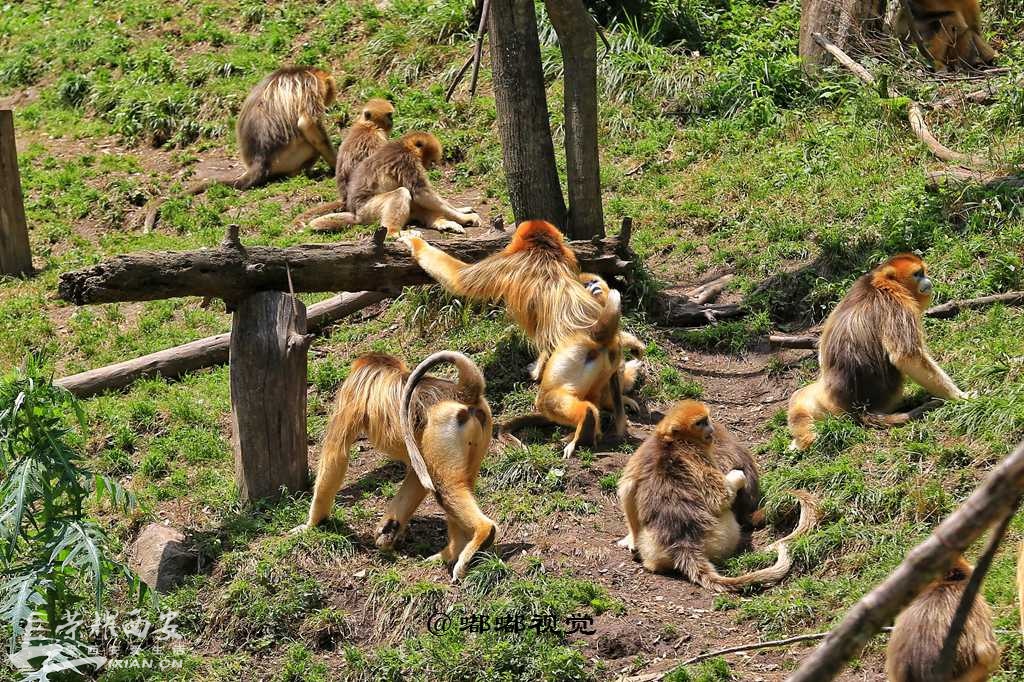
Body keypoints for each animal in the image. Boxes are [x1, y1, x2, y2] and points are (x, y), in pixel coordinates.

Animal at [288, 350, 495, 577]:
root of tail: (461, 392)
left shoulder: (352, 388)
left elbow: (336, 454)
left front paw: (312, 524)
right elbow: (417, 476)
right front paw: (389, 528)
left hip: (442, 426)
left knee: (444, 487)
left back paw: (483, 533)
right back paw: (452, 552)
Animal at [307, 131, 479, 235]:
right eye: (429, 160)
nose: (429, 166)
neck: (404, 145)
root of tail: (356, 214)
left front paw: (461, 210)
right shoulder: (406, 161)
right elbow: (421, 193)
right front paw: (464, 217)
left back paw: (440, 223)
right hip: (369, 211)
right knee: (403, 192)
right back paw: (394, 233)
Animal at [610, 399, 819, 589]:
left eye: (706, 419)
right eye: (700, 422)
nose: (710, 428)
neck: (671, 441)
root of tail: (683, 543)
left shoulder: (644, 452)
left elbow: (627, 490)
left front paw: (631, 539)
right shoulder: (699, 454)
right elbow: (721, 497)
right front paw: (736, 477)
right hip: (725, 532)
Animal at [782, 251, 966, 448]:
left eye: (923, 272)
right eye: (918, 274)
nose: (928, 280)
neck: (879, 283)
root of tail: (857, 409)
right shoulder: (896, 305)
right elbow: (907, 357)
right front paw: (959, 397)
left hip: (824, 400)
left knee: (798, 397)